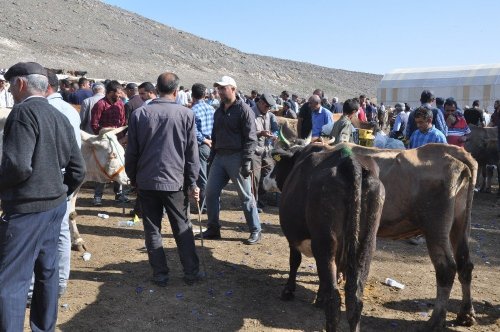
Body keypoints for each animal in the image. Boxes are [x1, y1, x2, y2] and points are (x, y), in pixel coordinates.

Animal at [270, 144, 382, 330]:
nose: (267, 179)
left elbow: (294, 261)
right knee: (355, 300)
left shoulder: (294, 238)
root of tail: (349, 161)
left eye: (277, 166)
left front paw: (288, 290)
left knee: (334, 301)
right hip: (366, 245)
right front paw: (319, 296)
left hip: (326, 242)